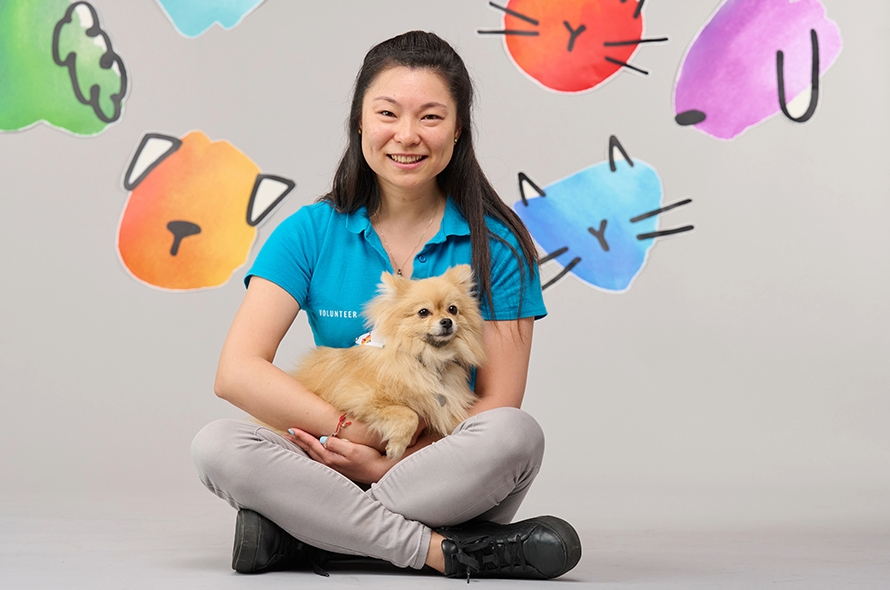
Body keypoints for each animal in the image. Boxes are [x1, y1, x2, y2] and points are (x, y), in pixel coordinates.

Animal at [290, 264, 486, 462]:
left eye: (453, 309)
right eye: (423, 312)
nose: (447, 321)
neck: (424, 358)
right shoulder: (361, 398)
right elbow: (410, 414)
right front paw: (397, 447)